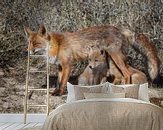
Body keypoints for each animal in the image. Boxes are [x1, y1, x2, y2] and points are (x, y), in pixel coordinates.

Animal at [24, 24, 159, 95]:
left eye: (36, 44)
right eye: (29, 43)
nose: (26, 52)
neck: (57, 45)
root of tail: (118, 28)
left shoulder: (68, 65)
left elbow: (63, 82)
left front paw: (60, 93)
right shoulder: (60, 67)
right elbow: (58, 81)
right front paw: (56, 91)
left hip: (116, 57)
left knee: (127, 73)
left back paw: (125, 87)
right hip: (113, 60)